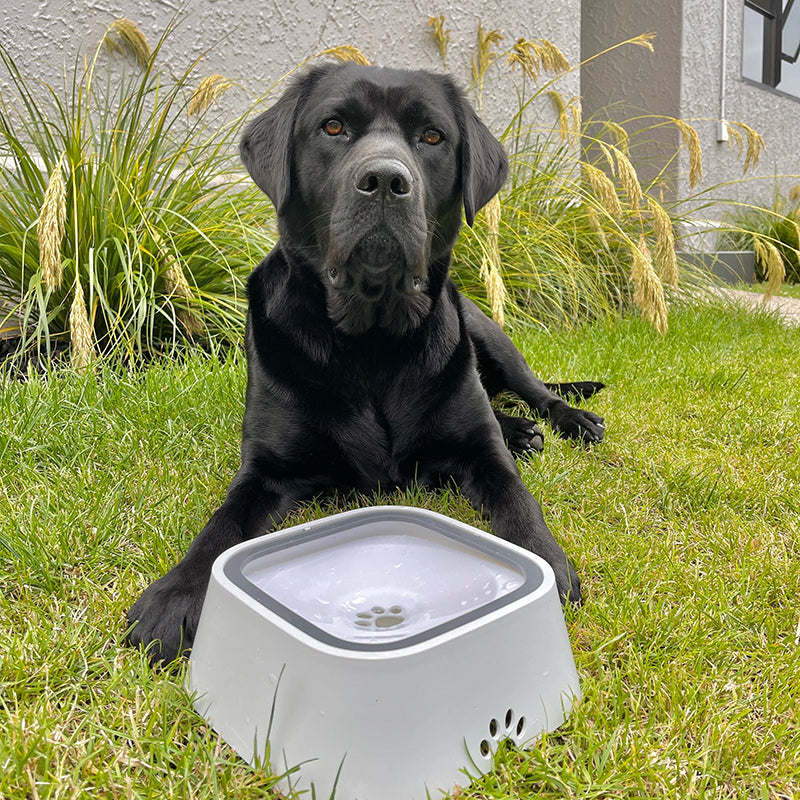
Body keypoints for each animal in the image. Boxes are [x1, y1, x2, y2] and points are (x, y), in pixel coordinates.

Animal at [128, 64, 604, 664]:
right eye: (333, 127)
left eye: (432, 136)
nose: (384, 180)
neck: (371, 343)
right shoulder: (265, 469)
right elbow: (222, 523)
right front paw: (176, 594)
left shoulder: (481, 453)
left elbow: (517, 498)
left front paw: (544, 557)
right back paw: (520, 429)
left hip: (487, 332)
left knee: (534, 389)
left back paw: (565, 420)